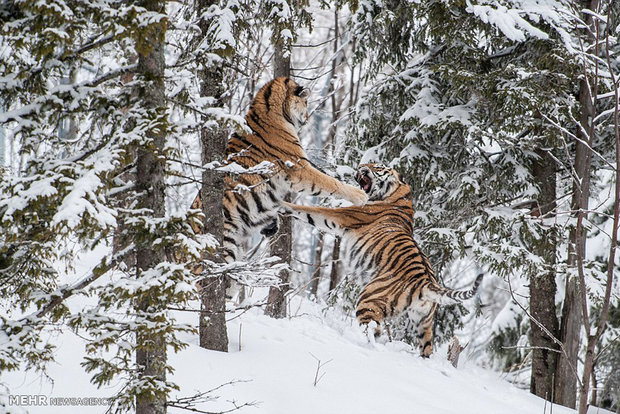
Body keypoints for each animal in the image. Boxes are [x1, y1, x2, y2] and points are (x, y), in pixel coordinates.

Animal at [191, 77, 368, 264]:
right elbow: (329, 182)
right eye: (306, 102)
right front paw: (360, 195)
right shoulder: (299, 167)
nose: (307, 118)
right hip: (226, 241)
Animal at [282, 163, 484, 358]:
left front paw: (282, 204)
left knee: (373, 331)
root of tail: (426, 282)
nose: (359, 167)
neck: (400, 195)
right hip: (423, 322)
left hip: (369, 300)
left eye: (376, 166)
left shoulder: (344, 215)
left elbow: (311, 211)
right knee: (426, 348)